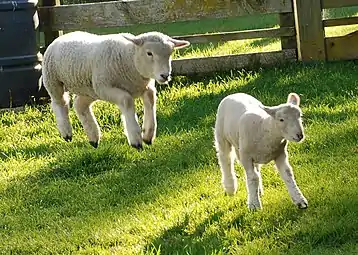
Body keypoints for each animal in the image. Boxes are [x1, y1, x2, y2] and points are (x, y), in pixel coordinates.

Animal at [41, 30, 190, 148]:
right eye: (149, 53)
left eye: (170, 53)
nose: (165, 75)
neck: (129, 59)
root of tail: (63, 36)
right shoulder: (105, 87)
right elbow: (126, 101)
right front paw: (135, 138)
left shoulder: (144, 87)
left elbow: (151, 98)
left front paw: (148, 134)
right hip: (54, 79)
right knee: (60, 103)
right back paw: (66, 132)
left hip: (90, 89)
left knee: (80, 105)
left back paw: (93, 137)